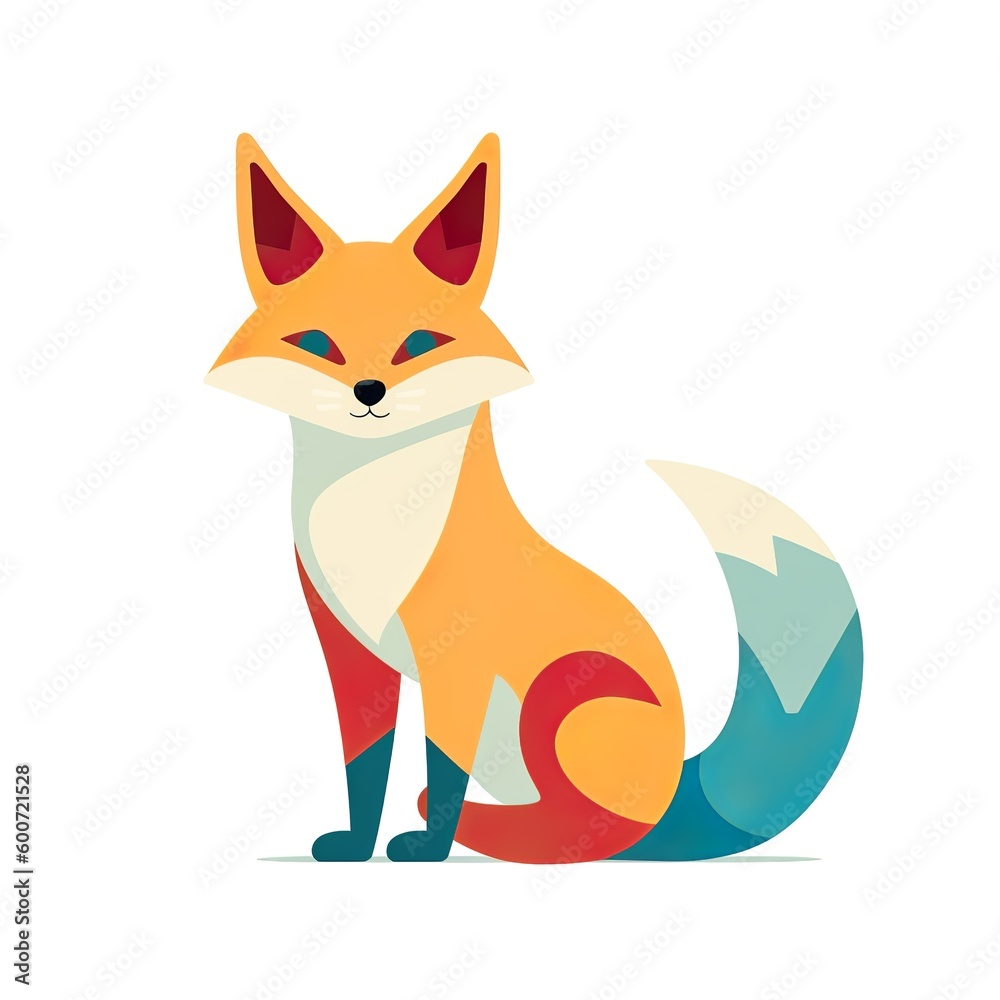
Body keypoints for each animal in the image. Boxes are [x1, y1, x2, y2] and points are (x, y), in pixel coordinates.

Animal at [205, 132, 863, 863]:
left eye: (420, 343)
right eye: (317, 345)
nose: (369, 391)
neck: (378, 514)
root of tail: (681, 788)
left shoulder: (457, 652)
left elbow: (441, 762)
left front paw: (430, 848)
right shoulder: (349, 650)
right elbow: (363, 763)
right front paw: (356, 844)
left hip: (566, 693)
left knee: (604, 830)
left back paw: (520, 837)